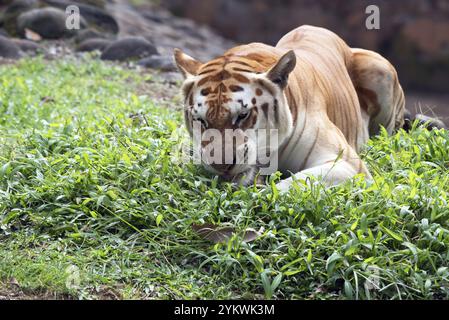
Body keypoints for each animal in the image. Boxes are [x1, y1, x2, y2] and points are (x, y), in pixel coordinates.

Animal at [172, 25, 406, 190]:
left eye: (243, 115)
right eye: (201, 120)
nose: (221, 167)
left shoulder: (346, 164)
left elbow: (291, 184)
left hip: (379, 69)